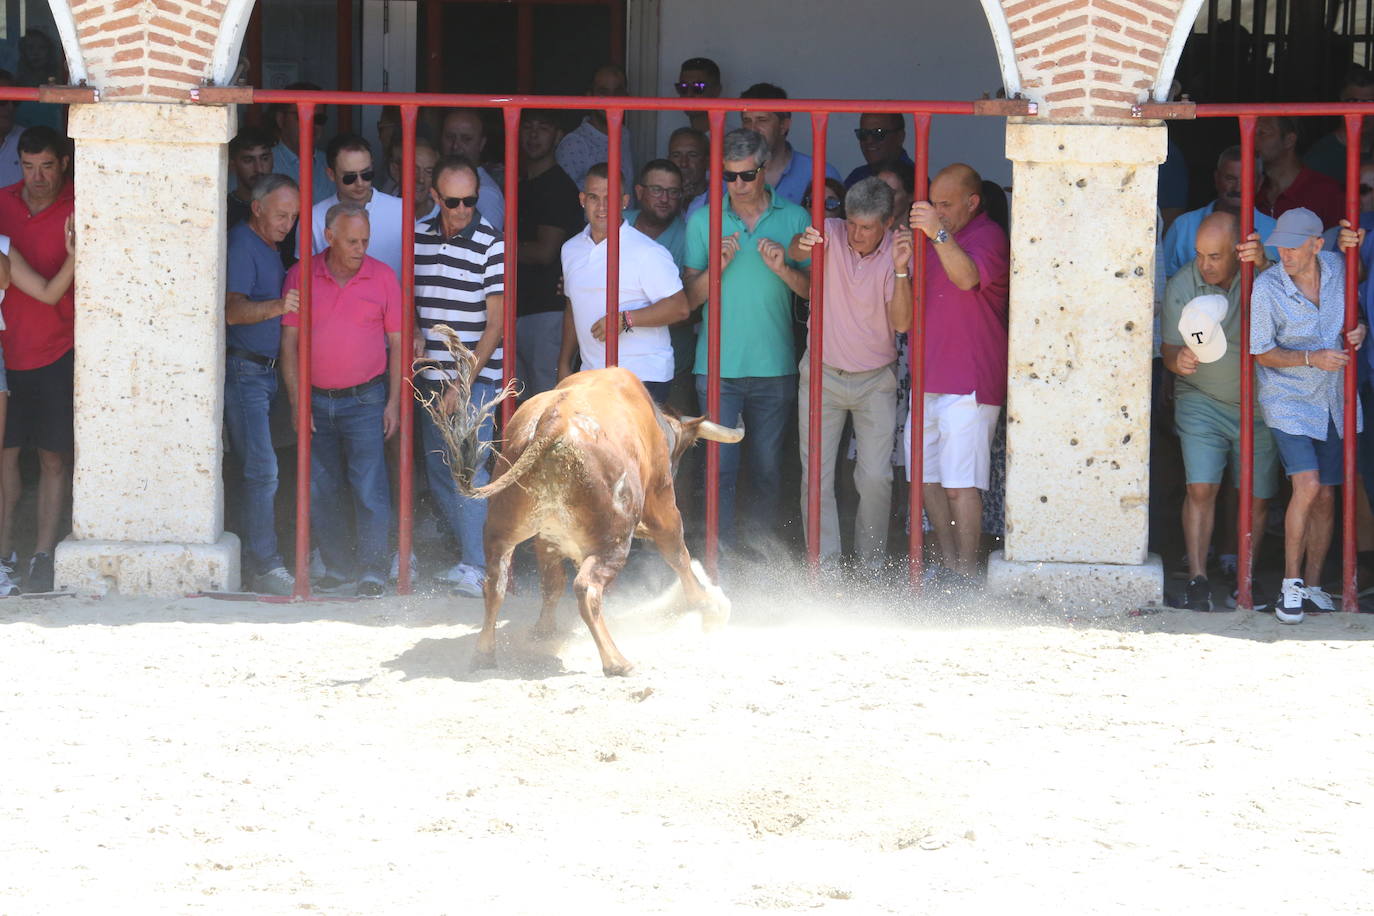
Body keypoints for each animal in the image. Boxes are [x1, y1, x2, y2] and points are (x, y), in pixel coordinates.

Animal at [423, 341, 747, 672]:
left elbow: (552, 583)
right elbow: (677, 553)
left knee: (498, 583)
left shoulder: (551, 537)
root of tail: (553, 421)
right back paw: (616, 661)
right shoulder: (662, 504)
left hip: (505, 528)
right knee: (587, 588)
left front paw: (544, 630)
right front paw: (705, 603)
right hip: (614, 539)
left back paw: (485, 653)